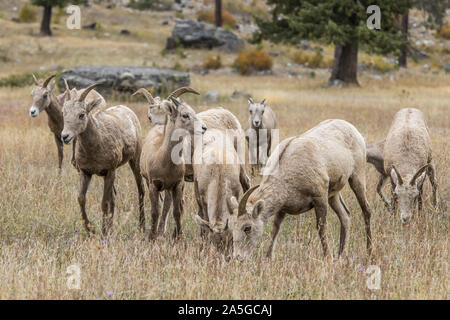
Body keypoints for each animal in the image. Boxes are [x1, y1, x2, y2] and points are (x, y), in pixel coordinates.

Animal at [137, 91, 207, 239]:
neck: (163, 159)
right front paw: (151, 237)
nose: (204, 128)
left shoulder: (177, 185)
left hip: (169, 188)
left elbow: (177, 211)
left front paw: (179, 237)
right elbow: (155, 212)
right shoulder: (153, 185)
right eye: (185, 115)